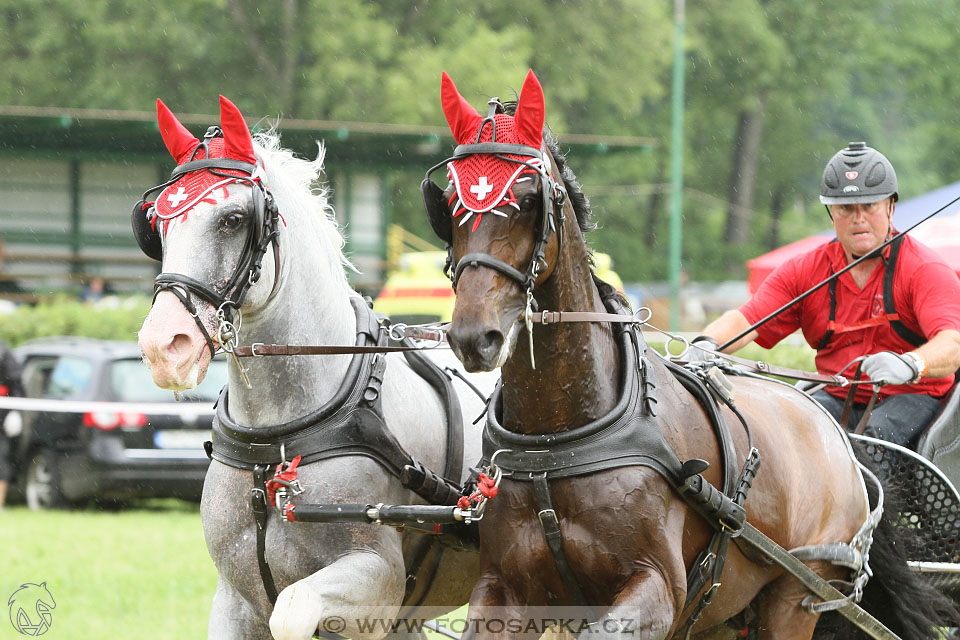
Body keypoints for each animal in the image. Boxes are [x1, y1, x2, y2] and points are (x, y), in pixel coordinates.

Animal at [137, 97, 496, 636]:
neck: (275, 447)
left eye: (233, 219)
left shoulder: (377, 582)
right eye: (156, 226)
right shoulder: (233, 599)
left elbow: (292, 611)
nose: (163, 346)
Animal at [426, 70, 952, 640]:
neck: (558, 438)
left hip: (795, 598)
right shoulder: (503, 591)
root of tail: (837, 434)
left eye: (527, 198)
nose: (474, 336)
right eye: (448, 204)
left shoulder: (656, 590)